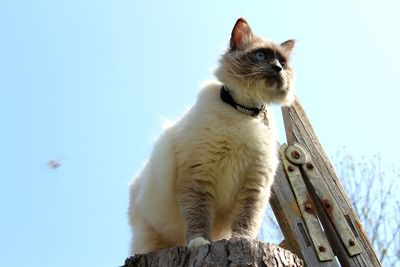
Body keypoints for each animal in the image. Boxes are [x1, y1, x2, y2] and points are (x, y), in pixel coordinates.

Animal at [128, 17, 294, 254]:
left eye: (283, 62)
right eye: (261, 56)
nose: (278, 68)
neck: (244, 112)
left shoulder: (255, 183)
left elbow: (246, 220)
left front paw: (243, 240)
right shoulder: (199, 174)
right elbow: (199, 215)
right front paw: (200, 242)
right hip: (148, 237)